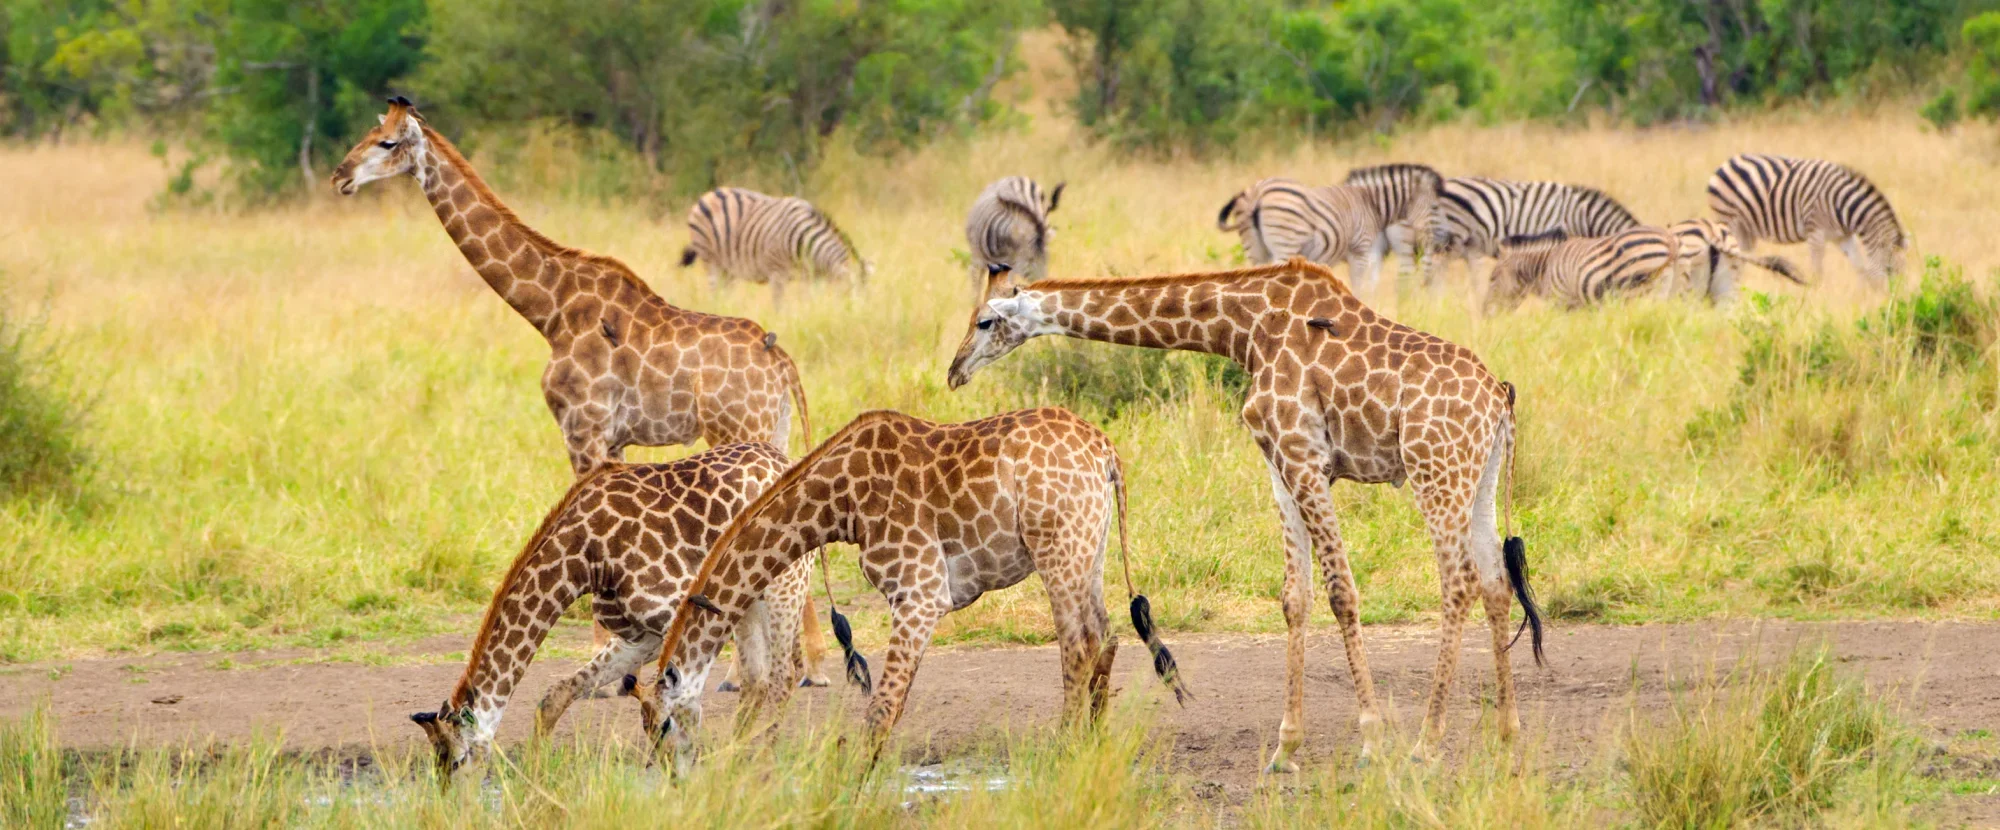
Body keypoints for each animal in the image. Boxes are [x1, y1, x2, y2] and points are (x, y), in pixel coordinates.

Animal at [330, 96, 826, 684]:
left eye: (386, 143)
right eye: (366, 135)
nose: (340, 177)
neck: (551, 309)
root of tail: (783, 362)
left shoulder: (582, 429)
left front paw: (604, 655)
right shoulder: (611, 439)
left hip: (738, 427)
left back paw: (774, 667)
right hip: (773, 429)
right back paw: (804, 663)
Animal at [408, 442, 821, 780]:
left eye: (457, 760)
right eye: (435, 764)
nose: (454, 801)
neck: (585, 556)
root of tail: (781, 458)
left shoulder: (676, 615)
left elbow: (673, 709)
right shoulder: (640, 636)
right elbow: (554, 695)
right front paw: (535, 781)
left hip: (784, 585)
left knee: (782, 675)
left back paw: (760, 759)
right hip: (748, 595)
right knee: (757, 679)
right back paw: (735, 762)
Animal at [638, 408, 1189, 773]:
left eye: (661, 724)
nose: (671, 775)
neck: (837, 501)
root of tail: (1105, 451)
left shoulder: (920, 591)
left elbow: (882, 705)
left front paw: (852, 780)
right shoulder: (917, 596)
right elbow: (892, 701)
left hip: (1057, 547)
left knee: (1078, 645)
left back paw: (1064, 749)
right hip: (1088, 547)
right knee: (1106, 636)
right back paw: (1094, 745)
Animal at [946, 260, 1544, 771]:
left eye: (984, 321)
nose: (954, 371)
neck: (1244, 327)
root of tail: (1499, 398)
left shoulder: (1303, 455)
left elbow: (1341, 592)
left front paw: (1372, 740)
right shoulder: (1281, 465)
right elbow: (1295, 598)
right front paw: (1285, 749)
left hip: (1435, 469)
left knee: (1459, 582)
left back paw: (1426, 742)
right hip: (1479, 477)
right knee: (1495, 583)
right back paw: (1508, 734)